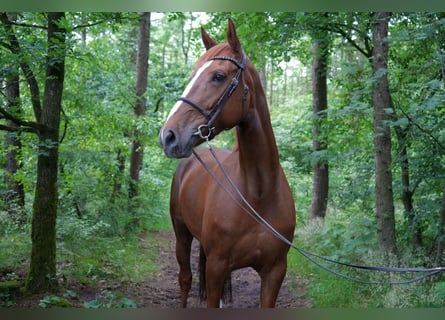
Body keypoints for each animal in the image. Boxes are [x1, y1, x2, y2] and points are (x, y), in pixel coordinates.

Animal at [159, 19, 294, 308]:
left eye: (218, 76)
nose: (168, 136)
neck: (258, 195)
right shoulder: (216, 267)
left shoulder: (275, 272)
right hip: (182, 235)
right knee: (185, 279)